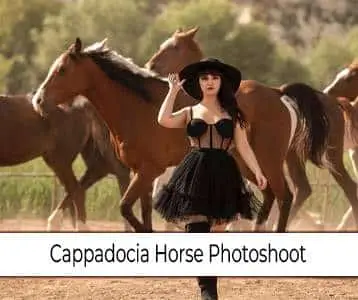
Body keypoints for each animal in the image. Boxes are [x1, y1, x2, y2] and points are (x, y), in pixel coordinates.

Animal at [31, 37, 332, 233]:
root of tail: (278, 93)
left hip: (269, 160)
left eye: (62, 69)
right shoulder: (143, 172)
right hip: (249, 163)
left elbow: (127, 209)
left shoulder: (148, 171)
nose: (38, 100)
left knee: (285, 196)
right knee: (270, 194)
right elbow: (143, 211)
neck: (138, 106)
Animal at [145, 27, 358, 230]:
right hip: (277, 160)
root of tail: (279, 94)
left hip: (292, 159)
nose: (150, 65)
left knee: (292, 194)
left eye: (174, 47)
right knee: (290, 191)